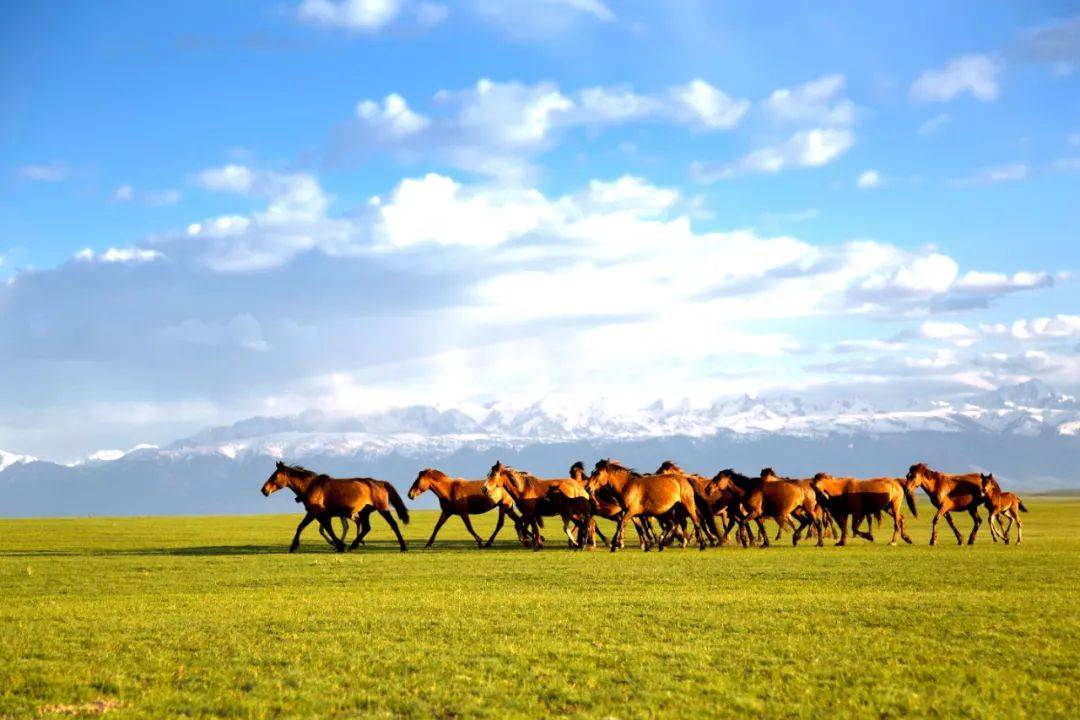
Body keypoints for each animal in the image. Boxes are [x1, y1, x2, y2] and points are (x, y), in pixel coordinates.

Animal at [261, 462, 408, 552]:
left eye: (275, 476)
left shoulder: (316, 513)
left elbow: (326, 529)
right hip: (364, 512)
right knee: (366, 527)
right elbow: (303, 527)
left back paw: (403, 547)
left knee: (393, 524)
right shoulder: (317, 514)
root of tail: (380, 483)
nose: (264, 490)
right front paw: (293, 546)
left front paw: (339, 545)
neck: (310, 487)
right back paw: (354, 545)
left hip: (382, 508)